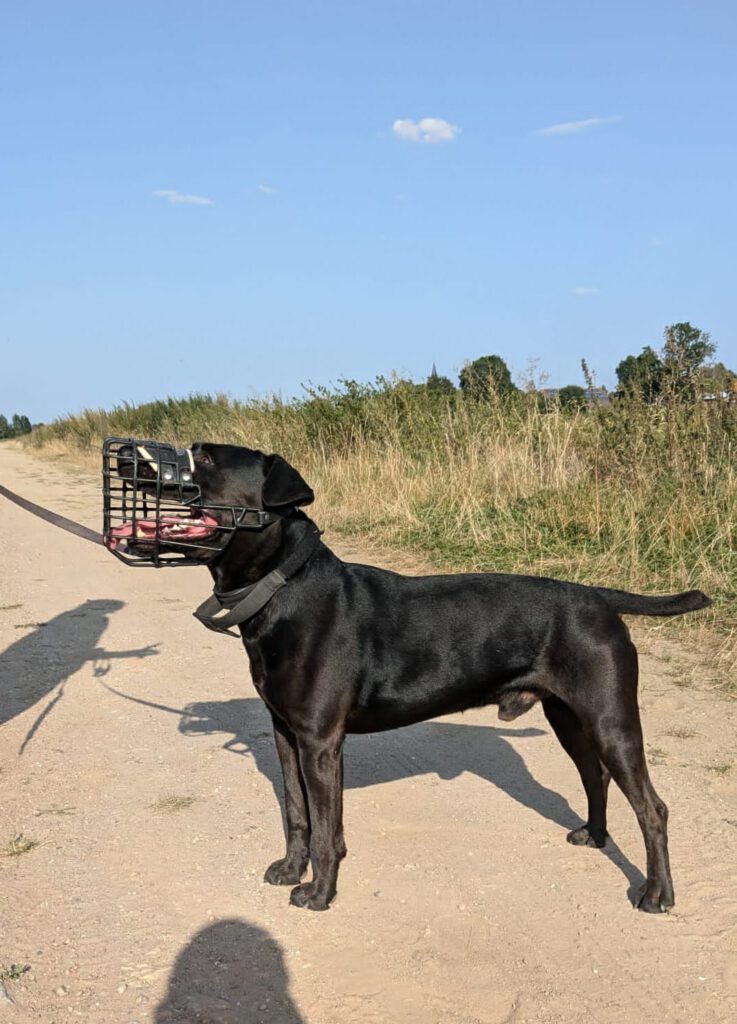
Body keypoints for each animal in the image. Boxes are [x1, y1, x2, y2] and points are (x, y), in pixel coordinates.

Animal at [146, 444, 712, 909]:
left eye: (205, 458)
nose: (142, 464)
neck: (284, 586)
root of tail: (598, 596)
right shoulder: (287, 734)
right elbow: (296, 813)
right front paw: (291, 870)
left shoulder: (320, 742)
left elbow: (328, 829)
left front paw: (320, 893)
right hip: (569, 718)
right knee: (595, 777)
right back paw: (594, 837)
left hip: (611, 721)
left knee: (652, 808)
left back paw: (657, 894)